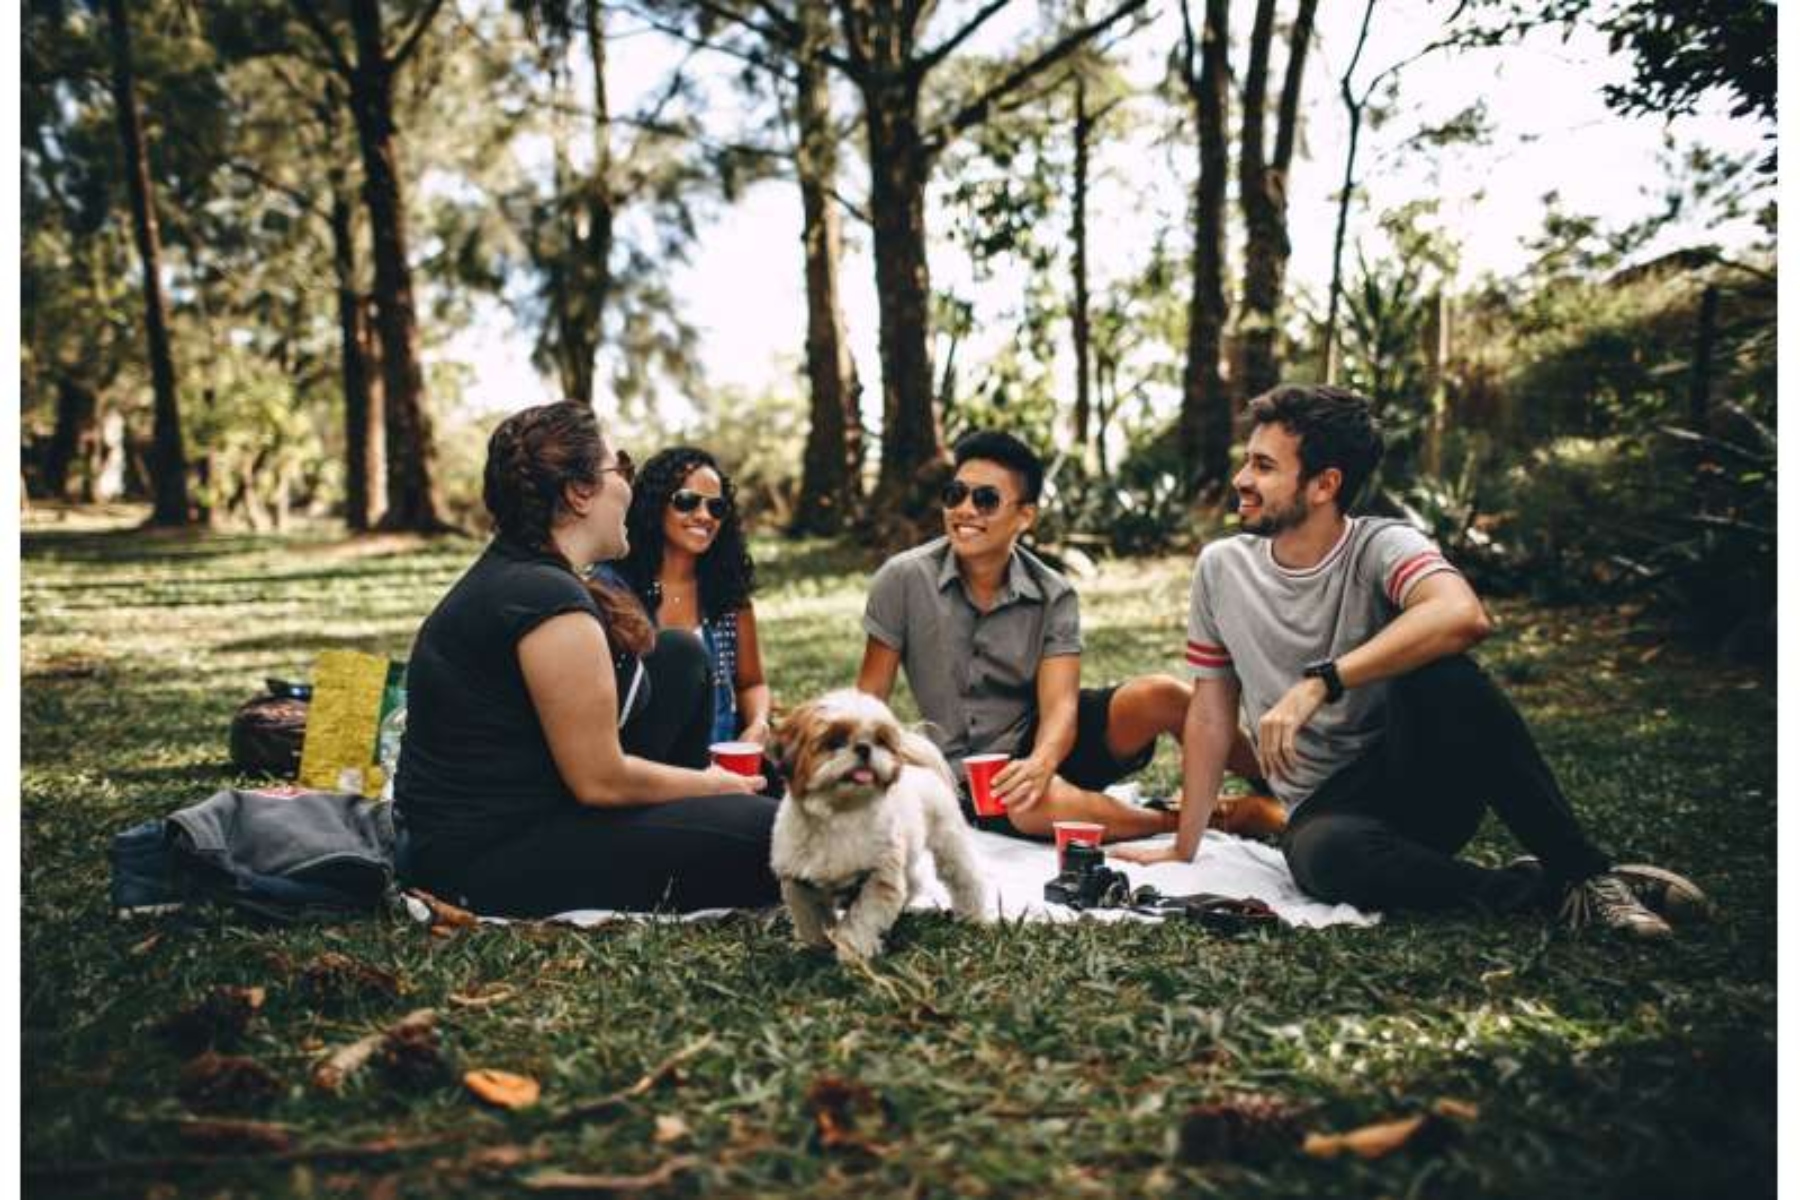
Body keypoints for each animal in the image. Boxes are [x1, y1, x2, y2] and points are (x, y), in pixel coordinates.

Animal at [770, 690, 993, 964]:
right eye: (835, 741)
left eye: (879, 740)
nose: (864, 748)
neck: (840, 814)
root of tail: (919, 766)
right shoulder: (798, 880)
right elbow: (810, 916)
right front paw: (818, 945)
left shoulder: (880, 876)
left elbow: (862, 918)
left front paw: (851, 951)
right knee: (913, 882)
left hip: (949, 842)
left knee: (965, 878)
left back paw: (972, 915)